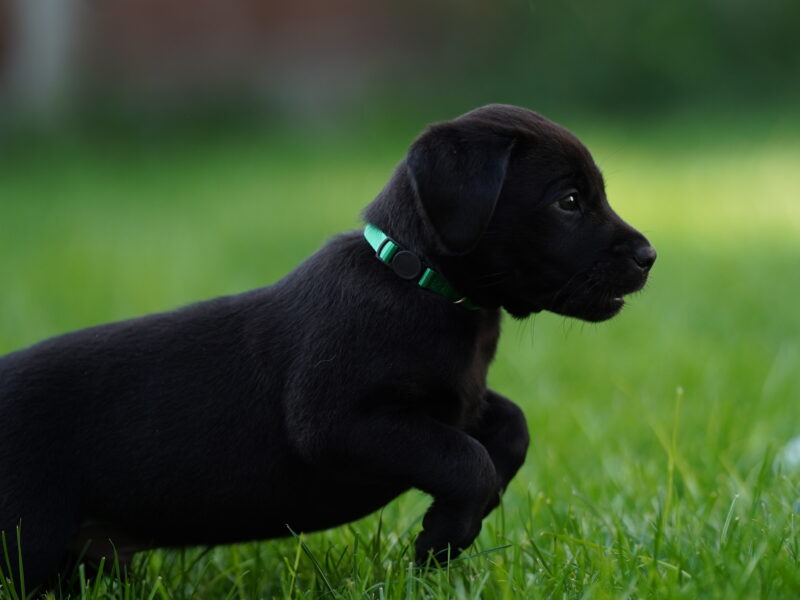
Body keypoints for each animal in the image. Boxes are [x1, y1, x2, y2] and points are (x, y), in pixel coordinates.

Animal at [0, 104, 656, 592]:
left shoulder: (456, 402)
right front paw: (439, 541)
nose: (650, 255)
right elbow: (468, 462)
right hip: (25, 534)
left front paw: (455, 531)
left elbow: (509, 431)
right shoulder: (339, 422)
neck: (419, 281)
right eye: (568, 201)